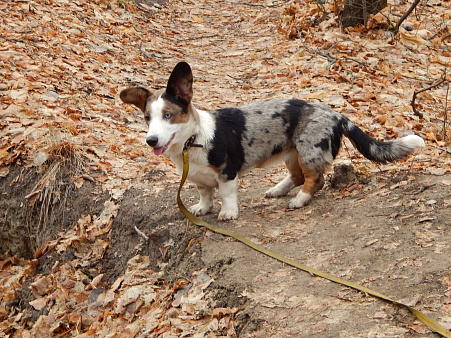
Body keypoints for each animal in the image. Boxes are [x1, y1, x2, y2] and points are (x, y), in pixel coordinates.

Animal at [119, 61, 424, 220]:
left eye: (168, 115)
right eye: (147, 118)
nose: (151, 140)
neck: (193, 140)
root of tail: (336, 114)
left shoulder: (227, 173)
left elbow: (226, 195)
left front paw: (227, 213)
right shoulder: (199, 179)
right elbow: (205, 194)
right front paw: (202, 209)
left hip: (309, 150)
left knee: (314, 180)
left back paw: (298, 201)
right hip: (291, 154)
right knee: (298, 177)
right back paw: (278, 190)